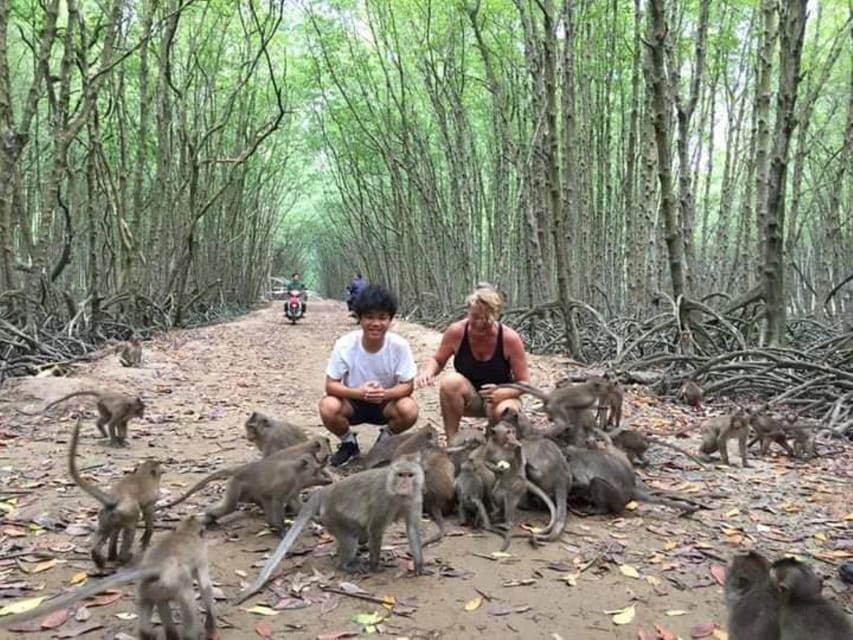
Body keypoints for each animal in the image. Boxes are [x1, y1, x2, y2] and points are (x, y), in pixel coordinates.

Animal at [0, 516, 216, 640]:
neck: (186, 532)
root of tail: (152, 566)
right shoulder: (202, 554)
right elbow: (205, 588)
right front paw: (211, 627)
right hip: (174, 582)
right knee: (187, 599)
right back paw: (190, 635)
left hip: (153, 586)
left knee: (152, 604)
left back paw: (155, 634)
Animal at [233, 458, 430, 604]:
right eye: (401, 475)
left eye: (410, 475)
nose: (405, 484)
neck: (398, 493)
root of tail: (326, 491)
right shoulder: (383, 498)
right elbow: (375, 528)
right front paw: (375, 566)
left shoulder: (415, 498)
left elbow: (412, 529)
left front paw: (419, 565)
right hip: (334, 516)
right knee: (351, 539)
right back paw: (346, 564)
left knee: (358, 536)